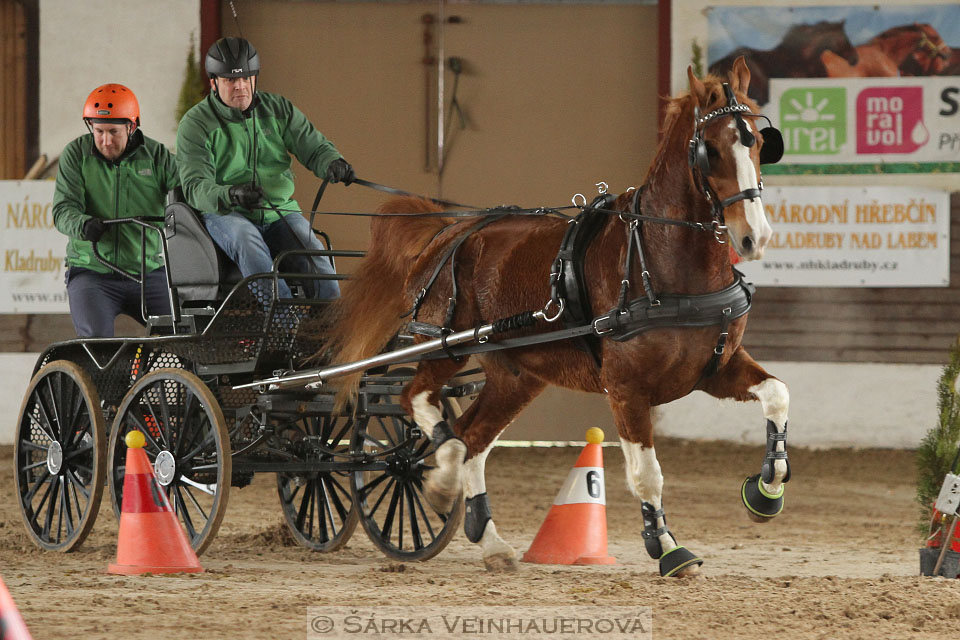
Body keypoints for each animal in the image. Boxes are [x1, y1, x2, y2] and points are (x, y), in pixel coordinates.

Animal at [326, 57, 792, 576]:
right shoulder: (626, 388)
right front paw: (668, 549)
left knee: (473, 437)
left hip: (516, 376)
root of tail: (448, 230)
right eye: (709, 150)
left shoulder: (716, 368)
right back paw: (441, 483)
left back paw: (491, 542)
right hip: (446, 346)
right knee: (420, 403)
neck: (659, 261)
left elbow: (778, 394)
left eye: (759, 141)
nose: (754, 237)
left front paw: (766, 491)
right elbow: (647, 475)